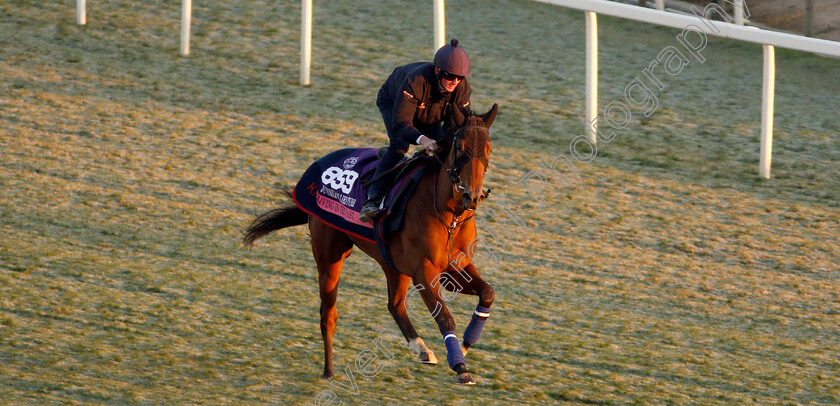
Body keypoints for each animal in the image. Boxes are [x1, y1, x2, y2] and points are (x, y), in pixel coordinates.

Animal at [243, 103, 496, 382]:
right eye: (460, 147)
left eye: (488, 148)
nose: (472, 196)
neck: (449, 216)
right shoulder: (424, 271)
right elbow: (445, 317)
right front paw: (461, 367)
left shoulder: (454, 267)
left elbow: (487, 293)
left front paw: (465, 344)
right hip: (330, 256)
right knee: (328, 314)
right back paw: (328, 370)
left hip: (393, 265)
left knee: (394, 305)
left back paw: (421, 349)